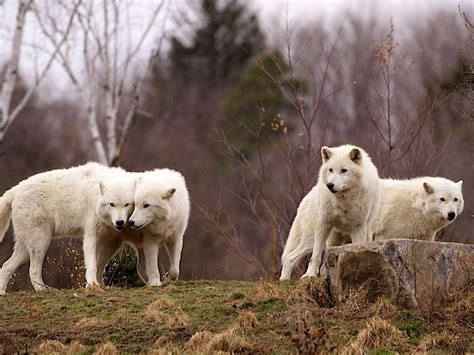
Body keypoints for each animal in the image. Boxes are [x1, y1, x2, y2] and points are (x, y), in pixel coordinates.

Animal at [0, 163, 135, 294]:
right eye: (112, 204)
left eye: (127, 204)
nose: (119, 222)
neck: (96, 196)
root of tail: (17, 188)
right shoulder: (91, 235)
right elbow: (92, 264)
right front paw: (92, 285)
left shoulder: (112, 242)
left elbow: (100, 266)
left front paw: (100, 285)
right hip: (41, 242)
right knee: (32, 270)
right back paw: (44, 290)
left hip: (26, 248)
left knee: (6, 266)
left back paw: (2, 292)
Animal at [280, 145, 380, 280]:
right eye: (331, 170)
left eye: (344, 170)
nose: (330, 185)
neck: (343, 201)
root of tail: (305, 199)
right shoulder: (324, 224)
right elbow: (315, 256)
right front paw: (309, 275)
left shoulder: (358, 228)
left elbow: (358, 249)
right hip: (313, 240)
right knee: (290, 257)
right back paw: (284, 280)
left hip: (361, 233)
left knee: (290, 257)